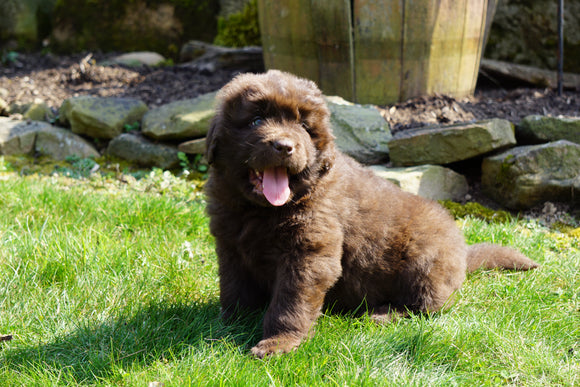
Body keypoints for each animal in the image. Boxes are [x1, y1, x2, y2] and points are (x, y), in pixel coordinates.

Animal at [205, 69, 540, 358]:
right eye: (256, 120)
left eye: (304, 127)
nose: (284, 146)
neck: (259, 210)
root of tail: (463, 254)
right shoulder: (230, 246)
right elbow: (234, 288)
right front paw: (226, 326)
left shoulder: (308, 254)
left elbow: (290, 302)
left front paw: (279, 343)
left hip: (423, 262)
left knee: (427, 306)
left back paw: (383, 315)